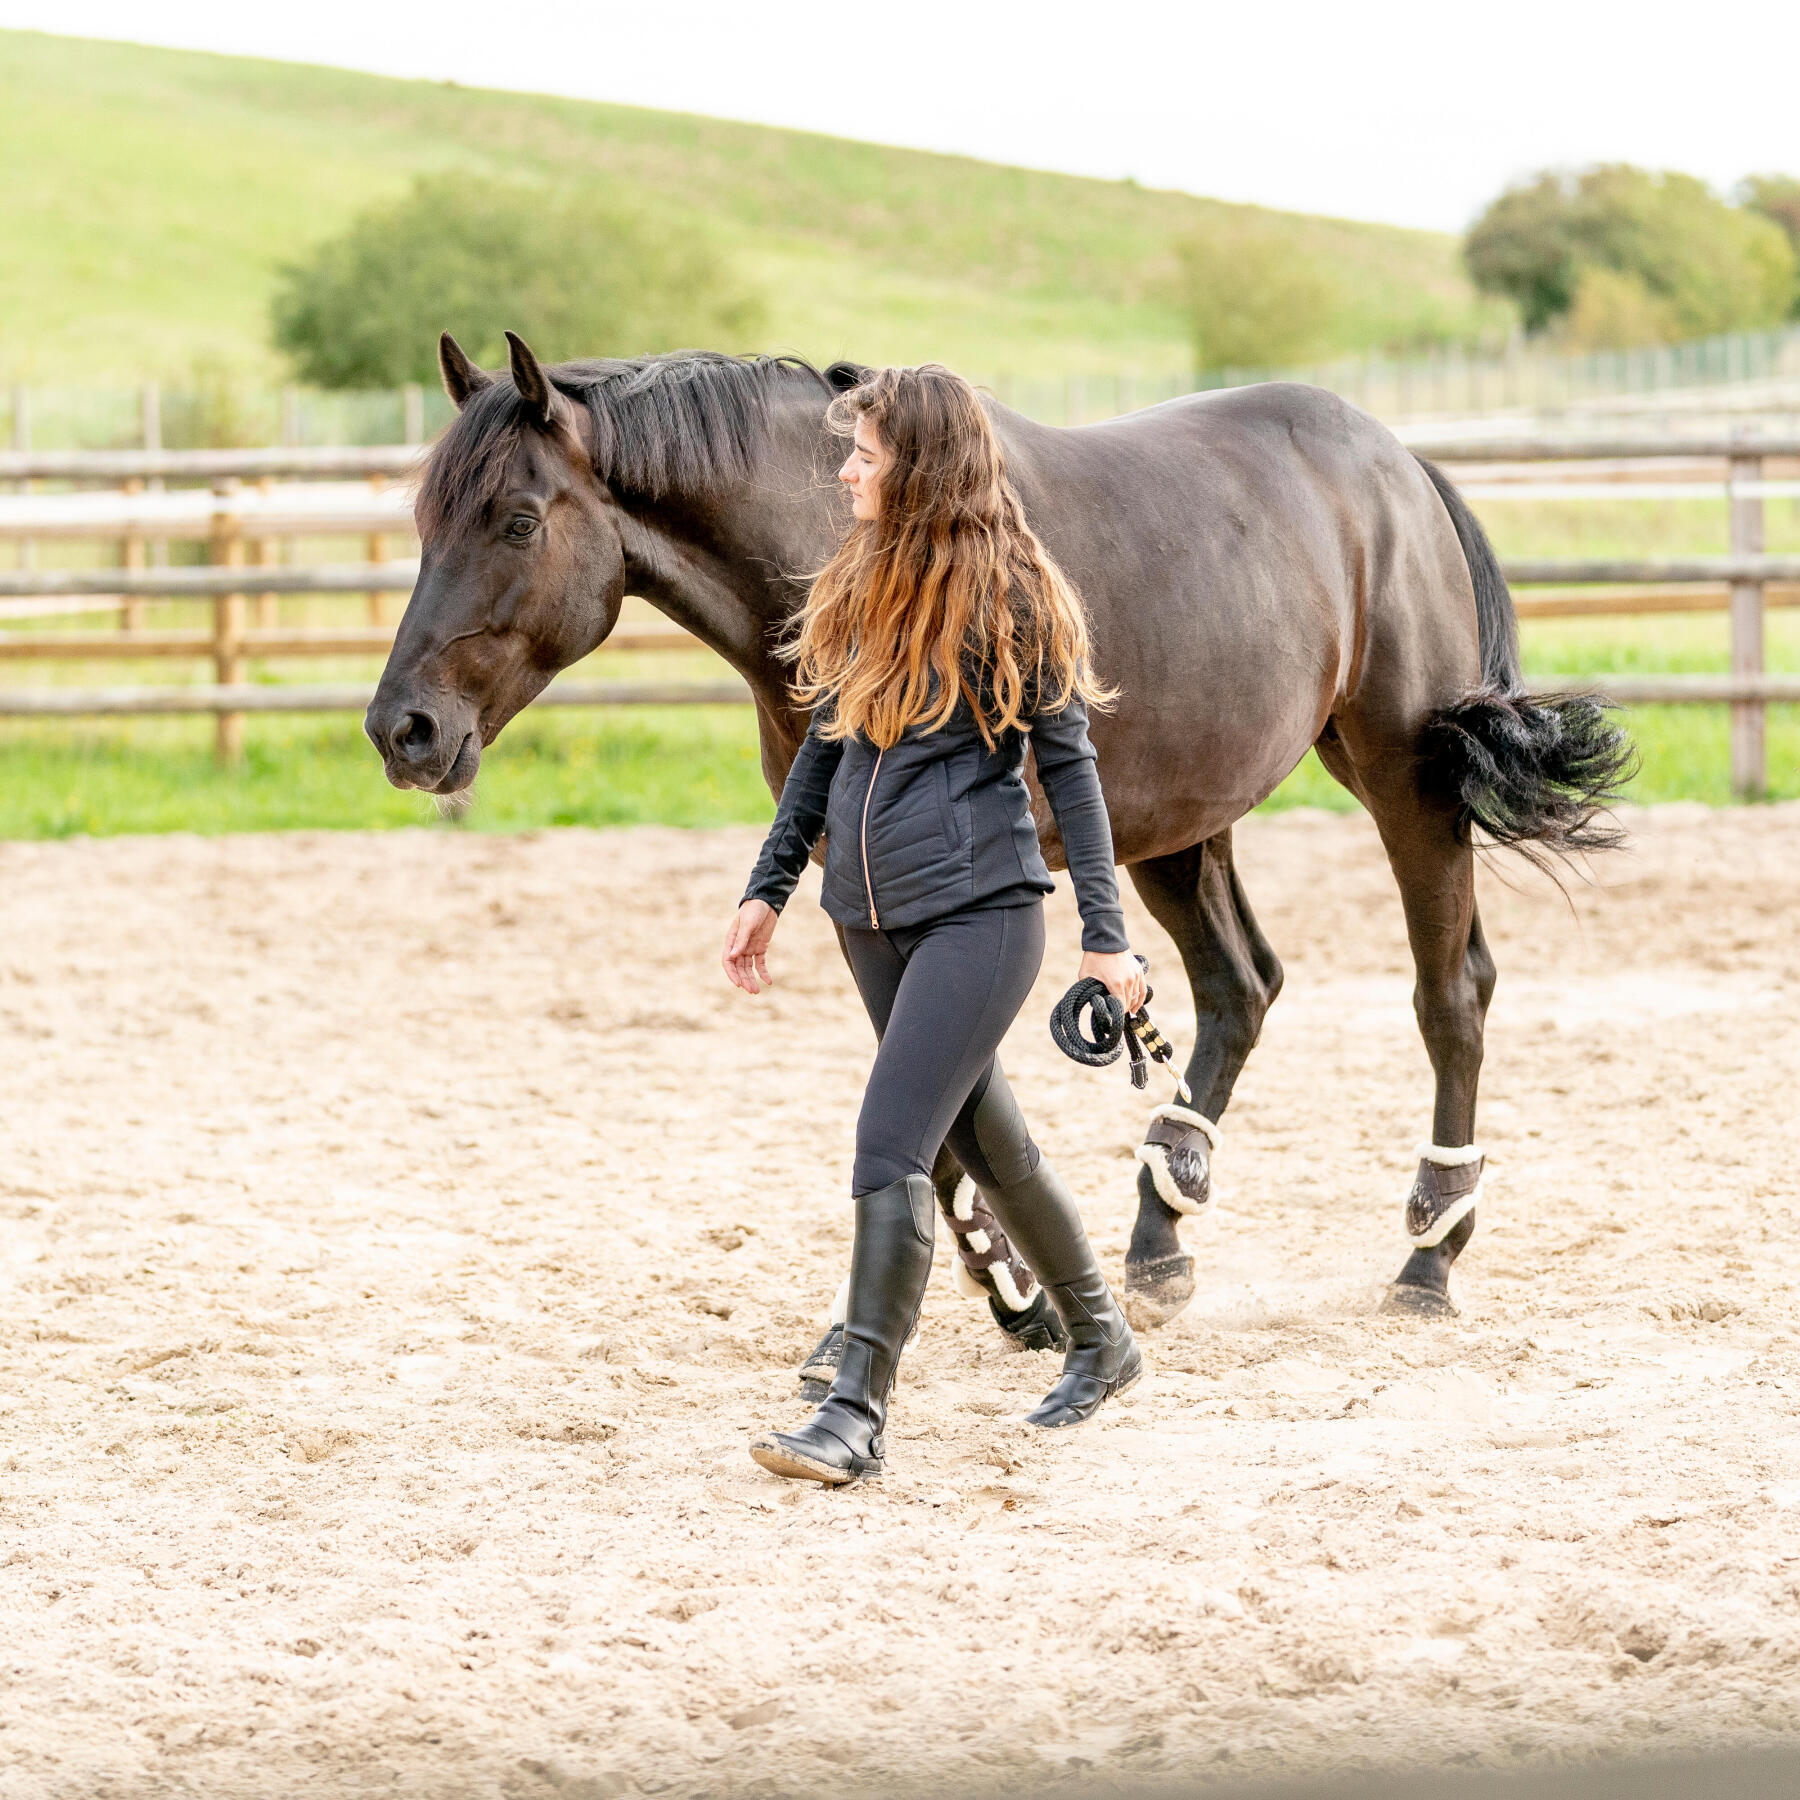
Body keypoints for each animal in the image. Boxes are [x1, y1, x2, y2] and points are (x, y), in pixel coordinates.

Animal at [365, 338, 1634, 1346]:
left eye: (519, 520)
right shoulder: (862, 885)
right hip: (1176, 823)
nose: (402, 730)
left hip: (1403, 784)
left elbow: (951, 1082)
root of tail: (1400, 466)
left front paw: (1017, 1284)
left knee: (1448, 996)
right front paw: (1012, 1286)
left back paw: (1428, 1257)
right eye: (426, 519)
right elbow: (932, 1091)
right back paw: (1160, 1241)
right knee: (1241, 988)